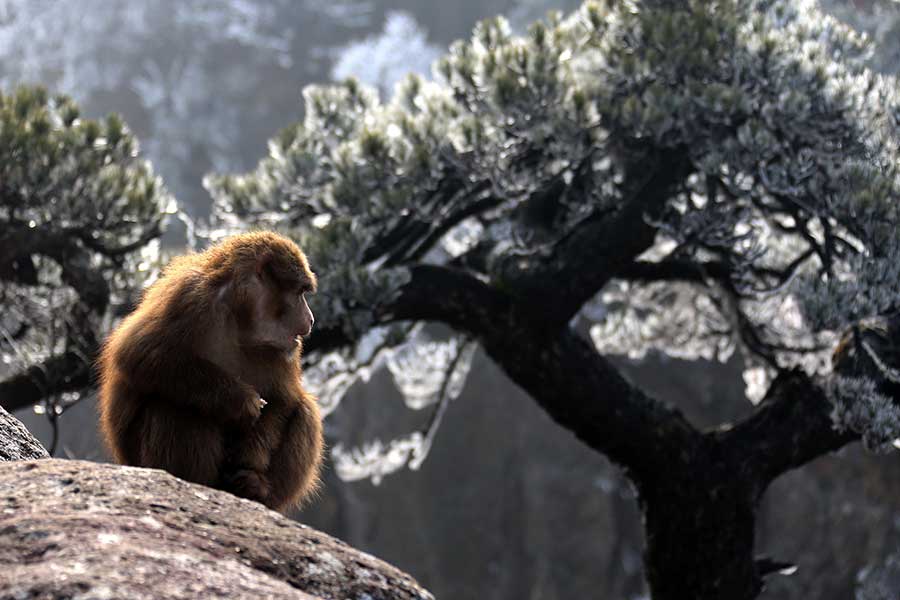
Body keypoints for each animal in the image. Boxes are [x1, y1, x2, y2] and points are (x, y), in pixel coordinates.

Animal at [97, 232, 324, 512]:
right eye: (299, 293)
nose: (311, 319)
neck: (240, 319)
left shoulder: (287, 348)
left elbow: (283, 400)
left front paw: (250, 467)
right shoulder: (190, 296)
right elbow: (137, 354)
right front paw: (239, 401)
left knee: (305, 410)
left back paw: (257, 491)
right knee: (174, 406)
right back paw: (193, 484)